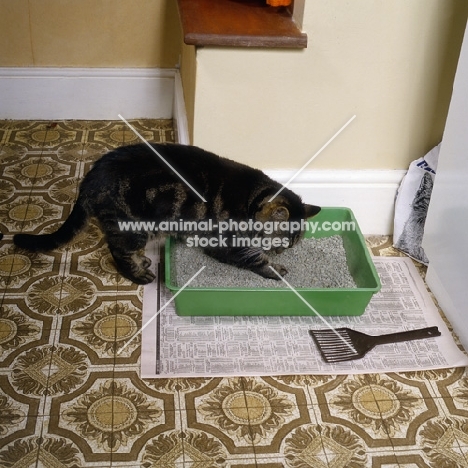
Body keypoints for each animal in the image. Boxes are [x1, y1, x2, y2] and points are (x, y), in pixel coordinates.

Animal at [14, 143, 322, 284]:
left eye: (291, 245)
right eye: (280, 241)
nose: (281, 251)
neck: (249, 202)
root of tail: (88, 179)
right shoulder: (227, 244)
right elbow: (256, 259)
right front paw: (275, 268)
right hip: (132, 227)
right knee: (118, 252)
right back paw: (139, 274)